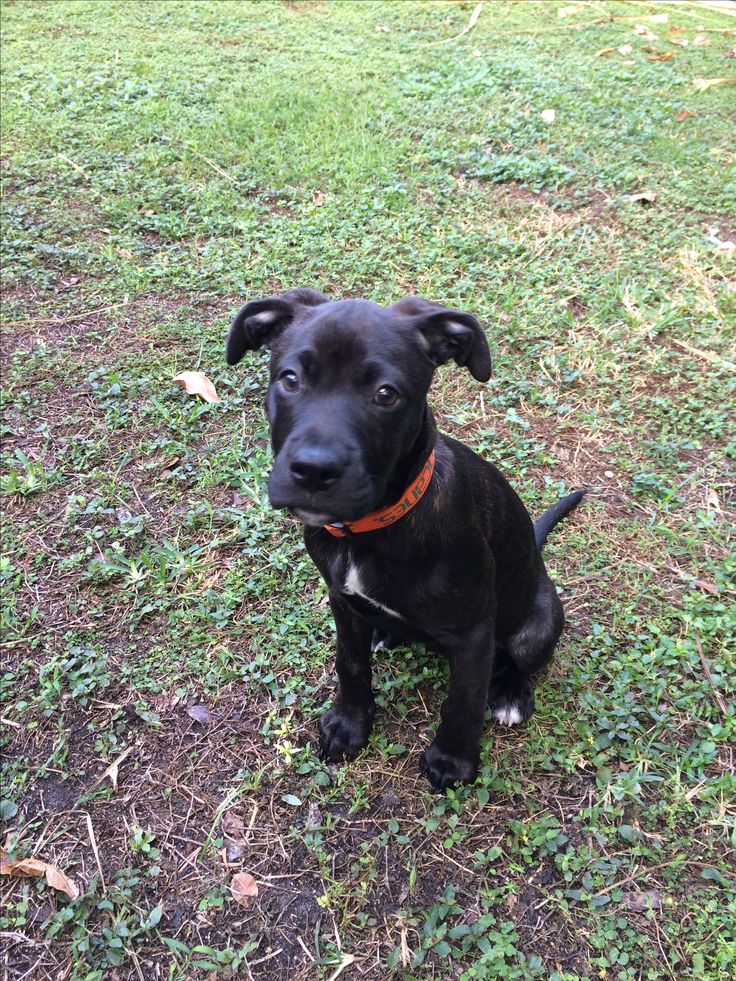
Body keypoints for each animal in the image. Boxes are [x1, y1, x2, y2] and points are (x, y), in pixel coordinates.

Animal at [224, 290, 580, 788]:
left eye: (386, 394)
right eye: (290, 379)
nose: (313, 470)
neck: (370, 530)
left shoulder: (474, 631)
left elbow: (465, 699)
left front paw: (452, 760)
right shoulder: (340, 599)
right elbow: (350, 664)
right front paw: (350, 724)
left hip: (538, 621)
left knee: (519, 657)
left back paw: (511, 691)